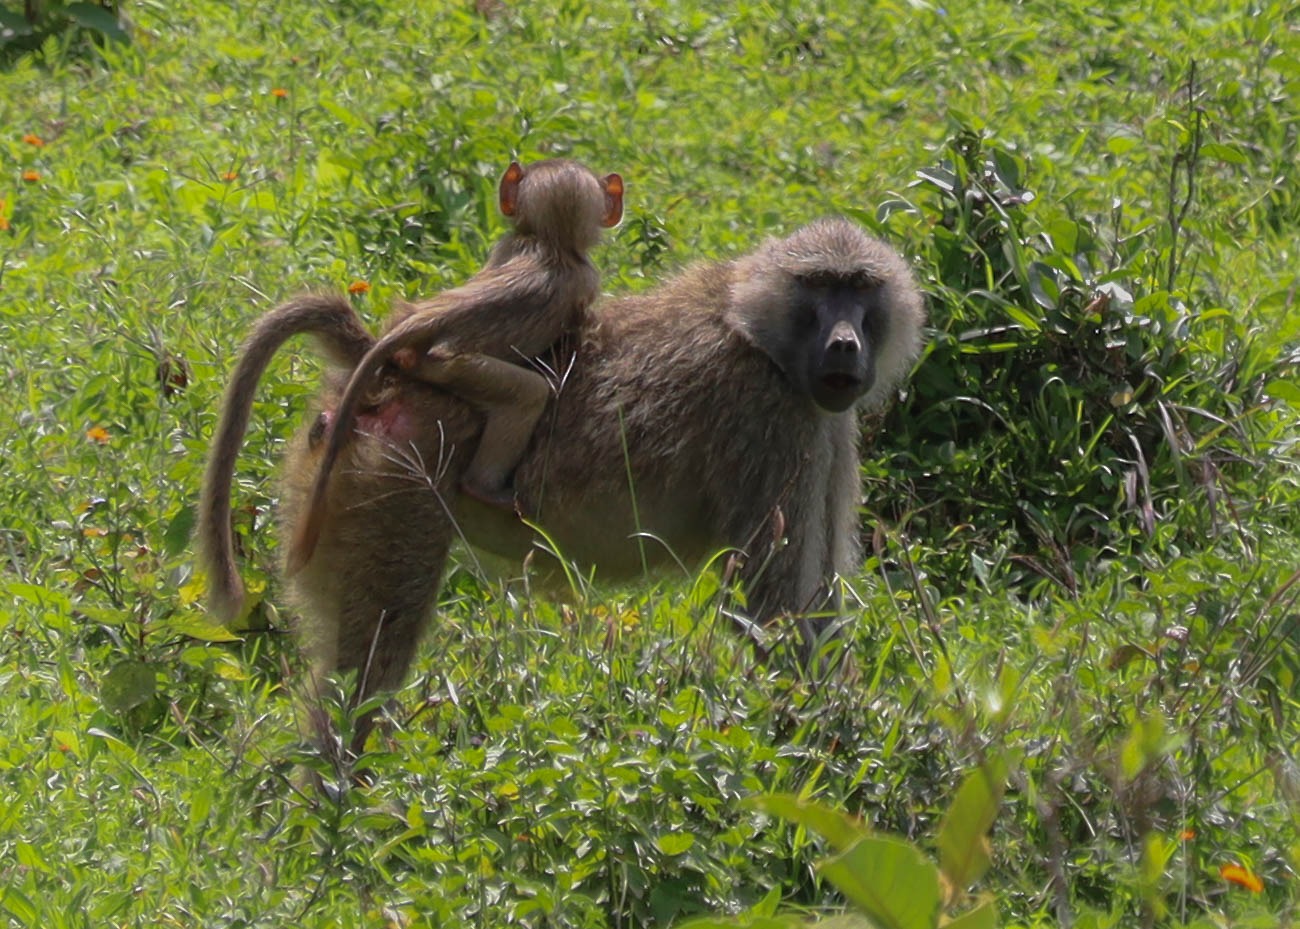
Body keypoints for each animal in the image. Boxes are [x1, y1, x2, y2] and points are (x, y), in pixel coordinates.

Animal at [287, 158, 624, 575]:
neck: (548, 243)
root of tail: (421, 324)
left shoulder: (504, 247)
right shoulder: (587, 280)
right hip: (454, 367)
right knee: (529, 394)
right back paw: (484, 486)